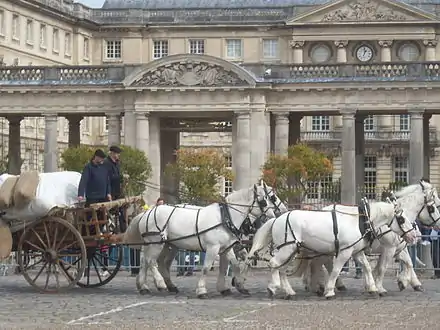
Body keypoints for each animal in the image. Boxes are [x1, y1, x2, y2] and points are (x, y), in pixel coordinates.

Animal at [122, 182, 278, 298]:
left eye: (271, 198)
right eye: (265, 200)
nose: (274, 214)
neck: (225, 217)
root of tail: (147, 212)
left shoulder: (226, 248)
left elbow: (233, 265)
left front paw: (238, 285)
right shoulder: (213, 247)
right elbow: (206, 268)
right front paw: (202, 290)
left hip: (166, 245)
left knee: (150, 262)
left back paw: (148, 286)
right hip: (155, 243)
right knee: (151, 261)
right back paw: (160, 284)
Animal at [242, 197, 418, 300]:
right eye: (402, 219)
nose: (413, 235)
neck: (361, 221)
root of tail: (277, 219)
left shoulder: (356, 251)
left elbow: (367, 267)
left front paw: (374, 288)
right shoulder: (345, 252)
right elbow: (336, 270)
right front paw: (329, 291)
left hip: (291, 250)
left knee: (282, 268)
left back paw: (289, 291)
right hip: (287, 249)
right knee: (274, 264)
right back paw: (273, 288)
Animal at [302, 182, 440, 296]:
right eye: (433, 207)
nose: (438, 224)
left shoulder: (398, 249)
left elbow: (409, 263)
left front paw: (410, 282)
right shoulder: (389, 248)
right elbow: (382, 267)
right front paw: (379, 287)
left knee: (323, 263)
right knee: (324, 263)